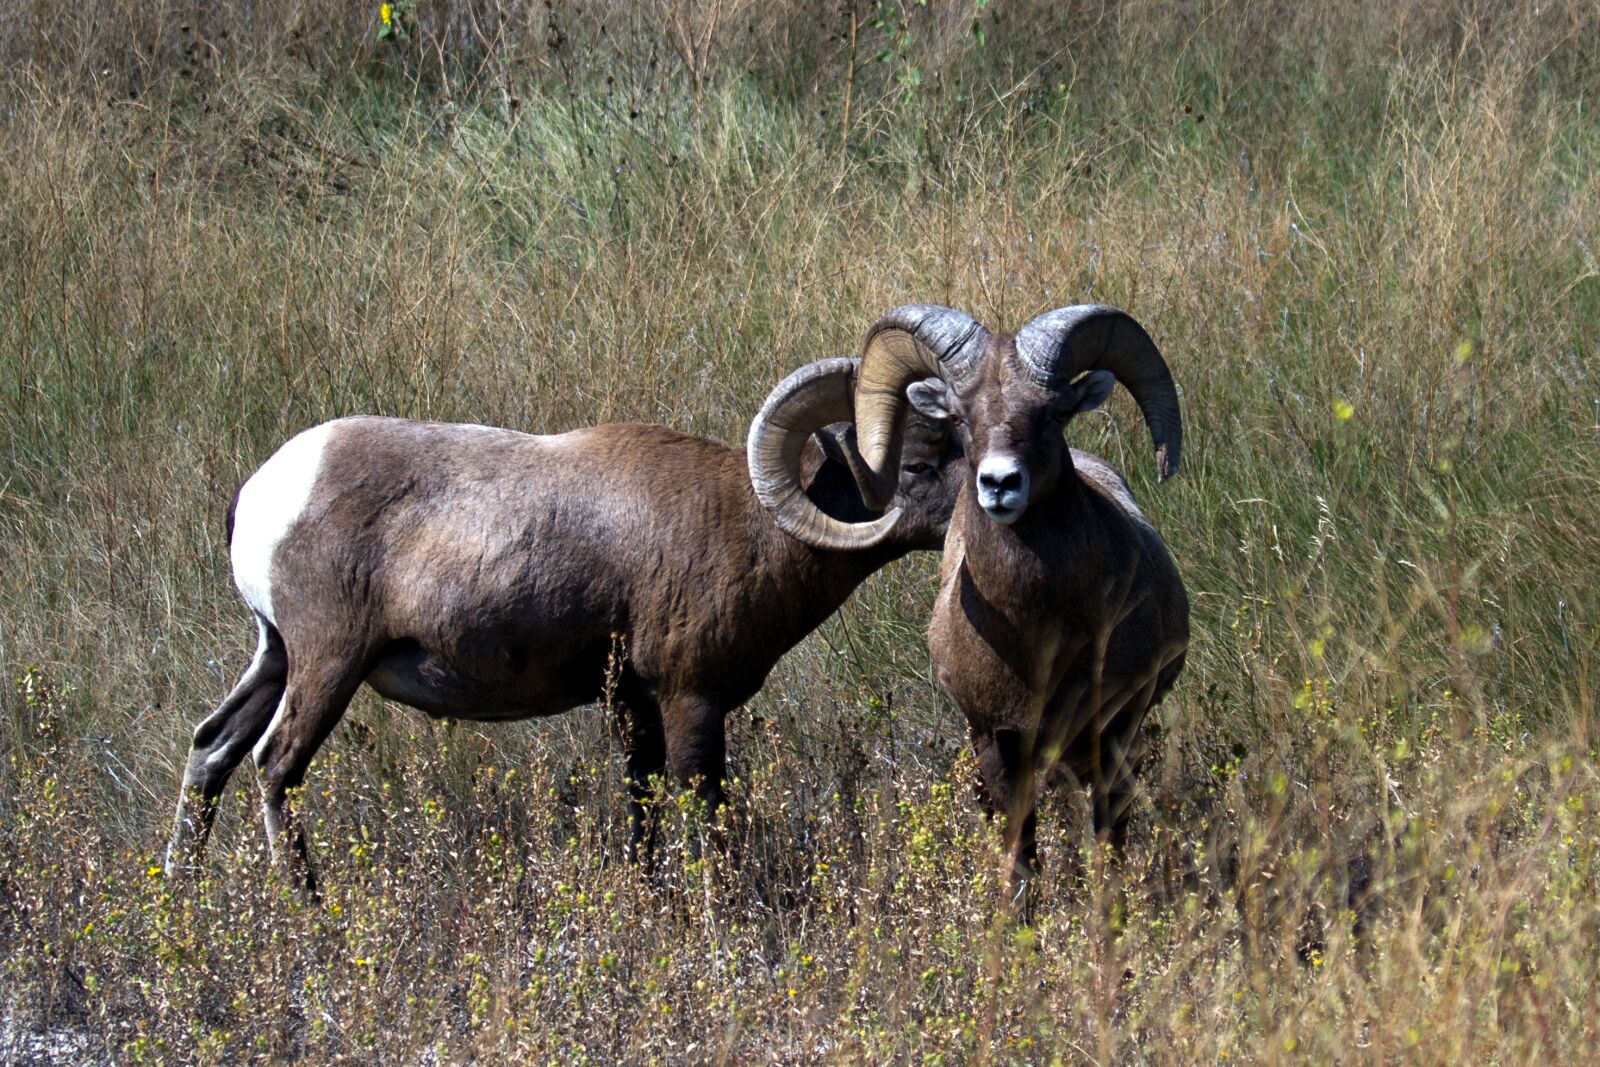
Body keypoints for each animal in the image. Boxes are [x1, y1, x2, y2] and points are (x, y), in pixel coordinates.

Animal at [164, 356, 964, 889]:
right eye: (919, 463)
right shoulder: (690, 701)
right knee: (275, 765)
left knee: (212, 749)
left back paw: (181, 895)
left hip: (274, 657)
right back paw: (308, 910)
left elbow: (643, 810)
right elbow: (703, 816)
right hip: (326, 664)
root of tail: (264, 489)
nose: (989, 499)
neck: (752, 526)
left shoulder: (632, 706)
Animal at [757, 305, 1188, 890]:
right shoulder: (996, 741)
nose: (999, 484)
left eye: (1055, 414)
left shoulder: (1115, 734)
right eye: (960, 419)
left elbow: (1107, 851)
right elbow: (1020, 860)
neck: (1039, 642)